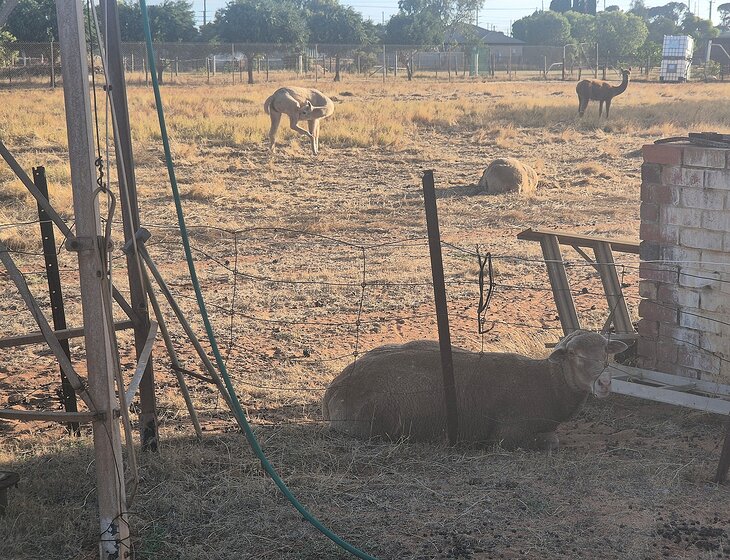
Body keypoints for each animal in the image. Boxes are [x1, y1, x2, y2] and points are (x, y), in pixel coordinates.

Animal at [323, 331, 627, 452]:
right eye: (574, 354)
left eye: (606, 351)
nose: (604, 382)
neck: (547, 384)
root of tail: (334, 387)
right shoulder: (509, 434)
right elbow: (552, 441)